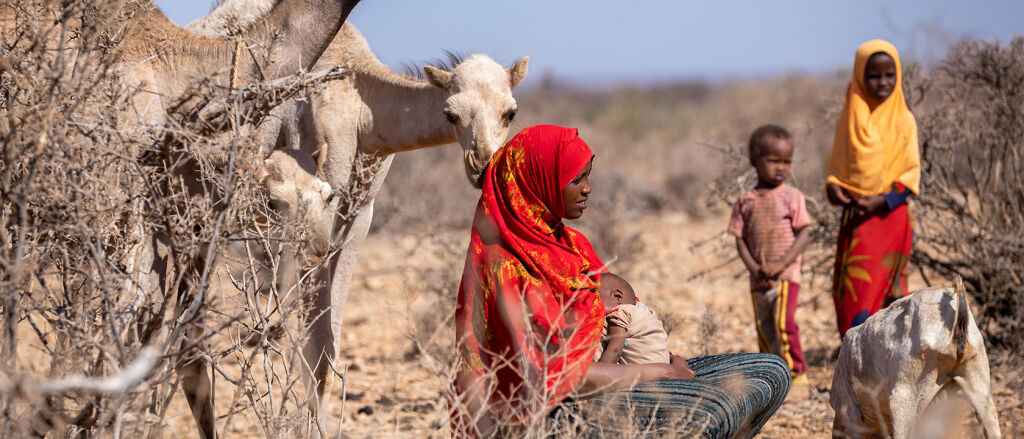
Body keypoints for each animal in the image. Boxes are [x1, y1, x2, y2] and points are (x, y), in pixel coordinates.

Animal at [189, 1, 532, 429]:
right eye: (450, 114)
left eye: (510, 112)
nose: (481, 164)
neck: (364, 111)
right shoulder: (322, 196)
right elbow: (316, 346)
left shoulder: (360, 213)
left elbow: (328, 342)